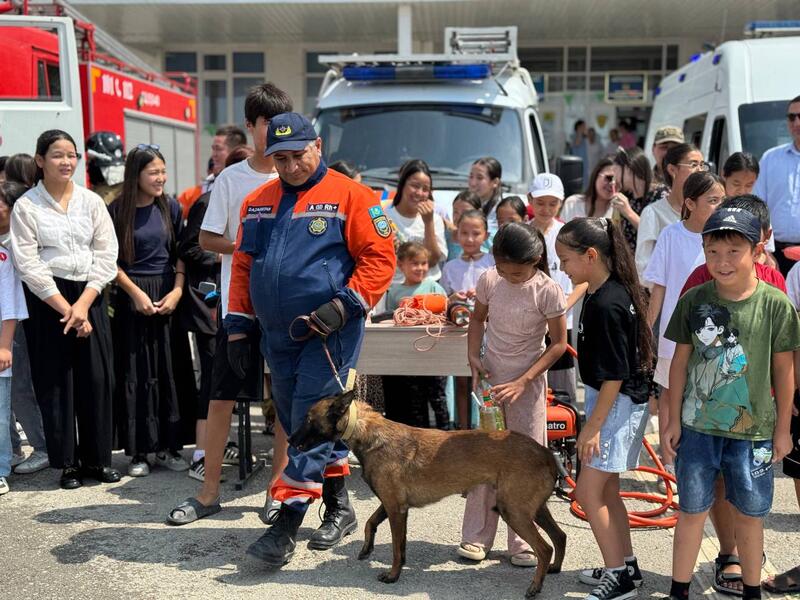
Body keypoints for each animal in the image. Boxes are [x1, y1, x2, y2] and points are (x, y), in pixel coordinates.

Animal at [290, 390, 567, 598]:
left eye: (308, 419)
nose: (291, 440)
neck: (368, 432)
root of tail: (545, 452)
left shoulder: (396, 509)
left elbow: (396, 548)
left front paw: (392, 575)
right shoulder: (393, 504)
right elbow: (371, 523)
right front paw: (367, 549)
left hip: (514, 511)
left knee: (544, 548)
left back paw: (535, 586)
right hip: (534, 509)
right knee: (559, 536)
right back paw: (554, 569)